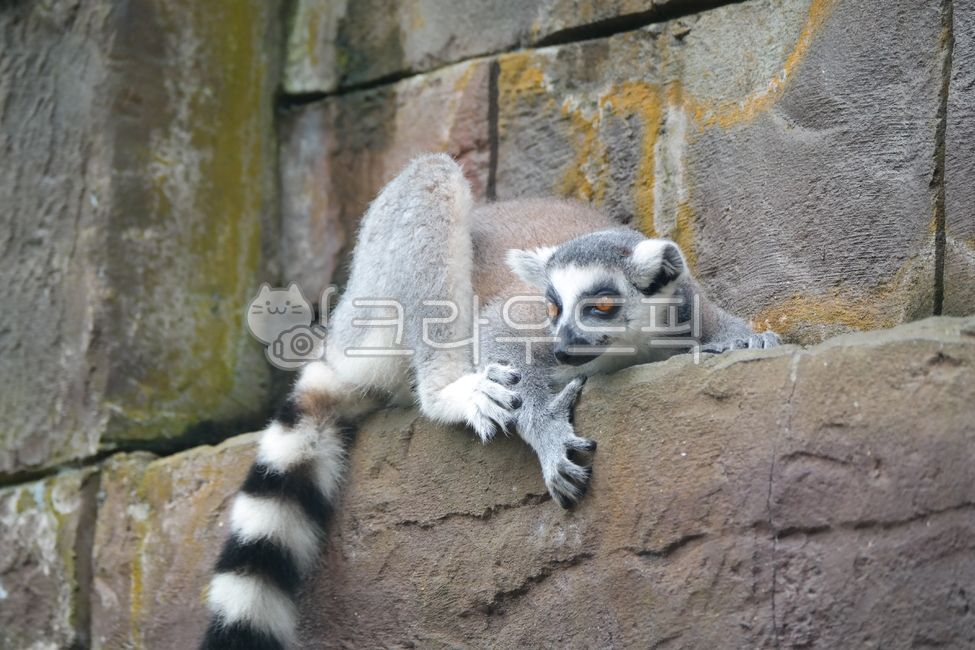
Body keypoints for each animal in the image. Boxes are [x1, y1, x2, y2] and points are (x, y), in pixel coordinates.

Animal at [200, 154, 779, 648]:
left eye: (601, 306)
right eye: (552, 307)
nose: (564, 345)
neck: (633, 347)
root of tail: (337, 335)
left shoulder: (689, 307)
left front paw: (746, 341)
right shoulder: (523, 323)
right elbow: (501, 339)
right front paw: (546, 429)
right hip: (372, 313)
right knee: (432, 181)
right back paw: (451, 393)